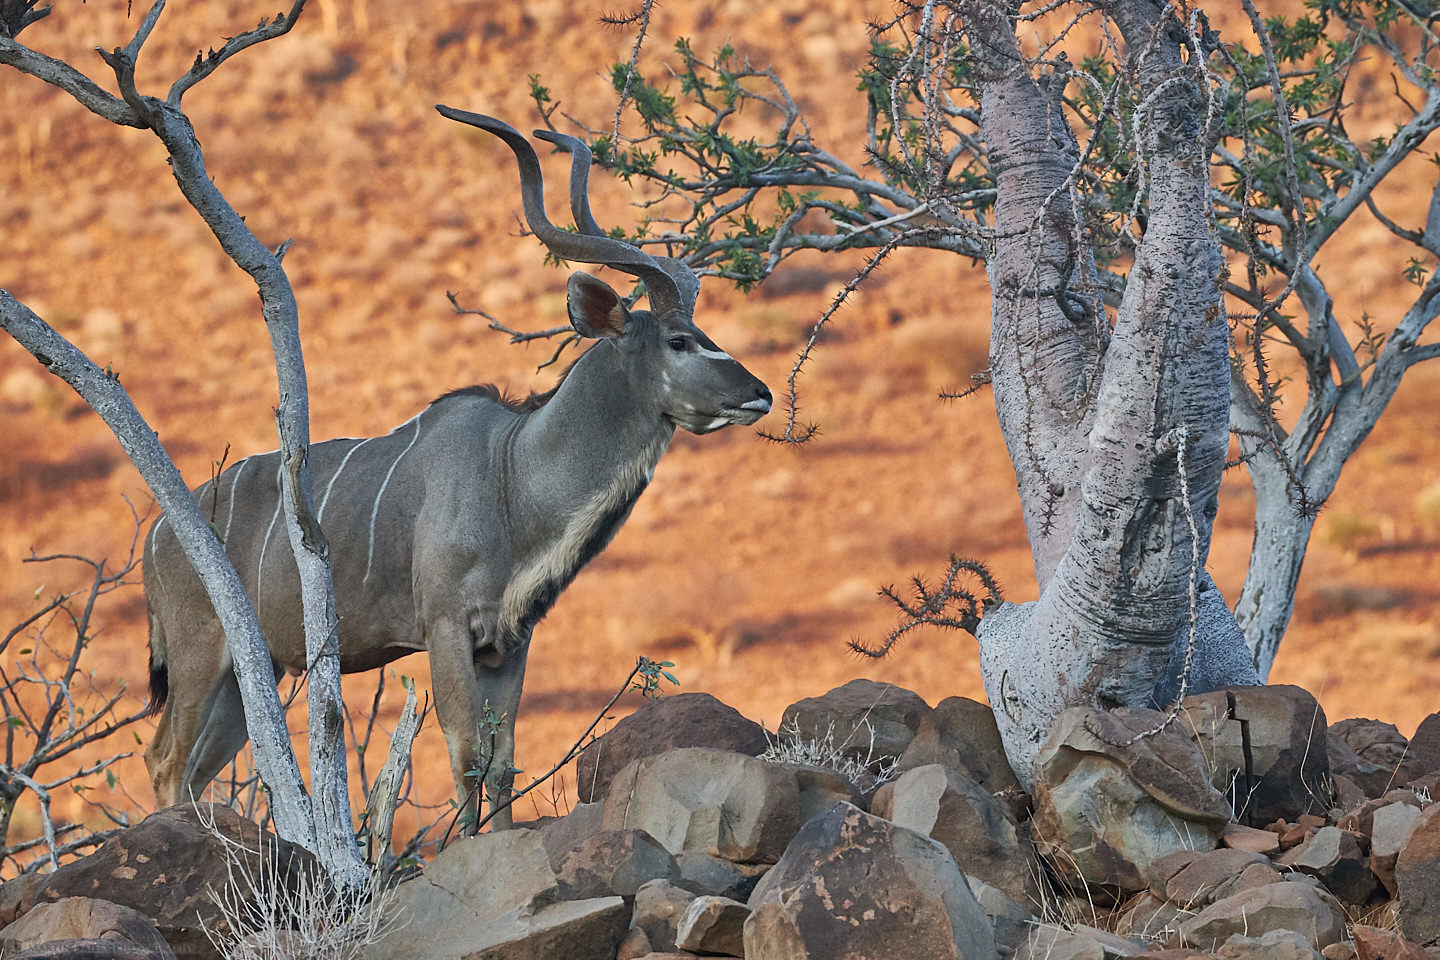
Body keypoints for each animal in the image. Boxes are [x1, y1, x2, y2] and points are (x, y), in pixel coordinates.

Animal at [143, 105, 777, 829]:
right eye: (678, 340)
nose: (761, 392)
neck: (511, 473)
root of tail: (157, 535)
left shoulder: (511, 642)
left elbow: (500, 763)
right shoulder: (445, 629)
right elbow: (465, 753)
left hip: (252, 669)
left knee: (195, 766)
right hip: (200, 653)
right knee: (166, 759)